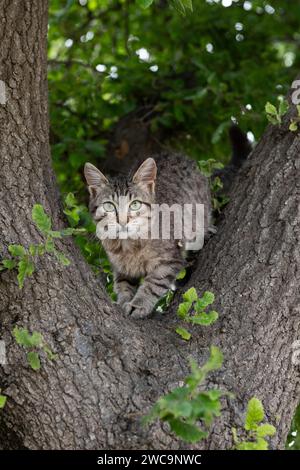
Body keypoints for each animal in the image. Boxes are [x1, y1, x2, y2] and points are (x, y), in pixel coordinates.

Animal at [84, 152, 211, 318]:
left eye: (135, 204)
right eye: (109, 206)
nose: (123, 221)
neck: (129, 246)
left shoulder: (170, 260)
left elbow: (154, 283)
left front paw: (138, 304)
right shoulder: (121, 268)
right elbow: (122, 285)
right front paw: (124, 301)